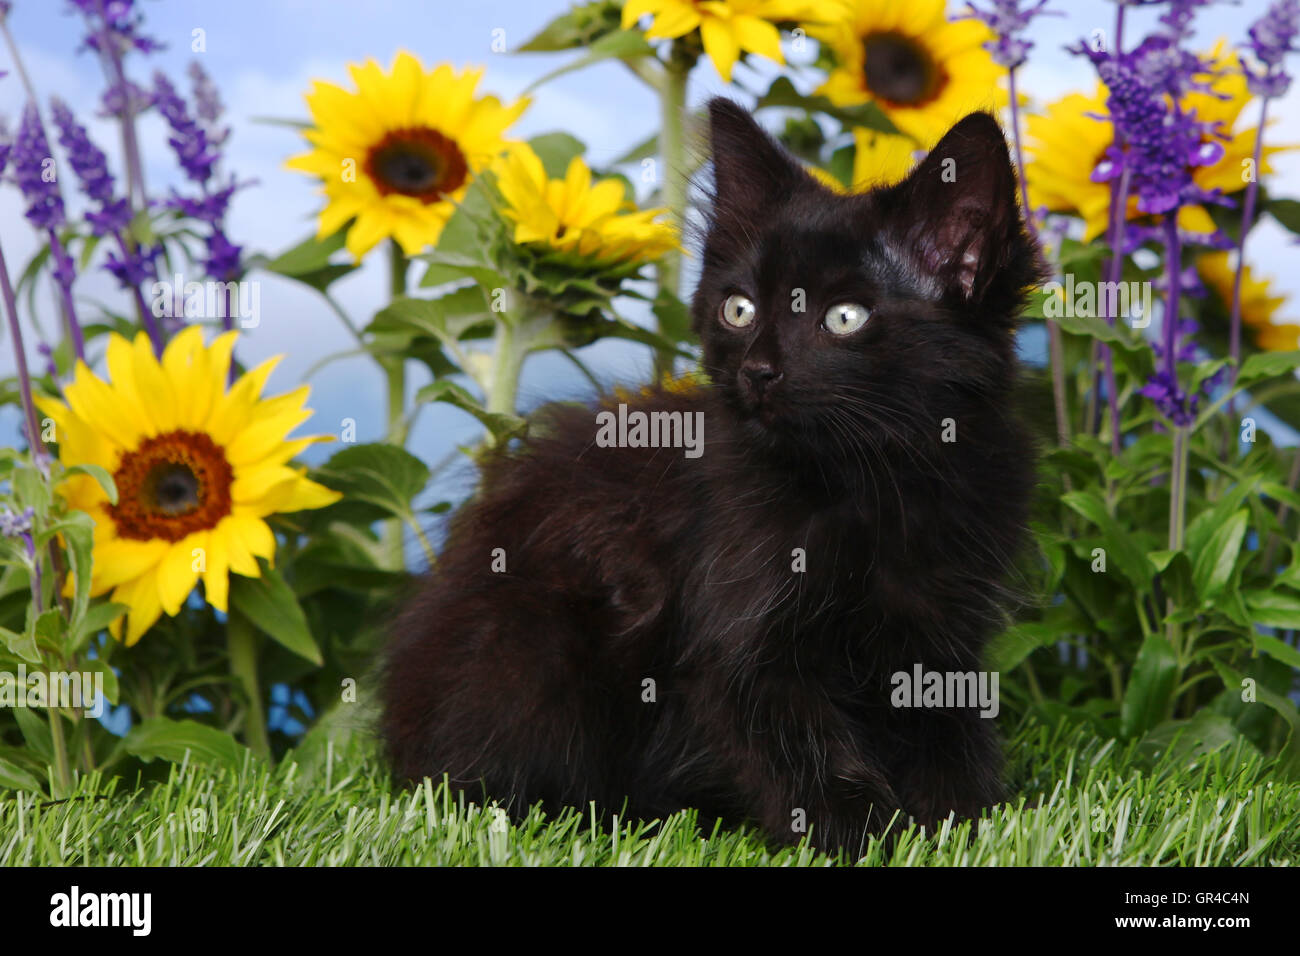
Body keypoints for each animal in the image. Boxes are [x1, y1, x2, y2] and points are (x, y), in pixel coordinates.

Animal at [379, 100, 1040, 858]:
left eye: (845, 318)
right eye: (739, 309)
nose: (758, 371)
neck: (872, 481)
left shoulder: (944, 627)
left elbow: (948, 733)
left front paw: (965, 819)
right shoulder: (741, 642)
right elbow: (800, 744)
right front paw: (860, 830)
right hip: (528, 647)